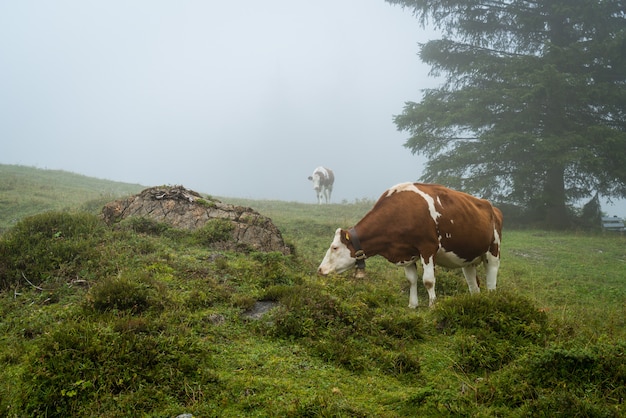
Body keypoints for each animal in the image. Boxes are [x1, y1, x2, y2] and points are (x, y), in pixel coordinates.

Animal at [316, 182, 502, 306]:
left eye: (334, 247)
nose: (320, 269)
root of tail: (492, 207)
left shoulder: (428, 248)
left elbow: (428, 280)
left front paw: (433, 305)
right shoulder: (405, 252)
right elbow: (411, 280)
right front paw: (413, 305)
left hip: (493, 251)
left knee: (492, 280)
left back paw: (493, 299)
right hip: (467, 259)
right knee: (473, 285)